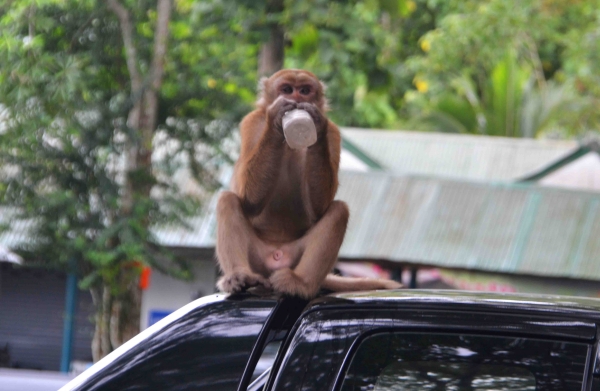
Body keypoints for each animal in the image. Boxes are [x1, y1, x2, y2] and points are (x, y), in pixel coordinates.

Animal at [216, 69, 404, 298]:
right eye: (287, 90)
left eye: (305, 91)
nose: (297, 100)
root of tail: (276, 258)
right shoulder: (252, 124)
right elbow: (249, 200)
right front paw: (275, 120)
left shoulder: (334, 132)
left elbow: (319, 208)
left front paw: (316, 125)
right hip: (257, 259)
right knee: (227, 200)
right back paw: (240, 276)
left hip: (294, 256)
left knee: (339, 210)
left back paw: (301, 283)